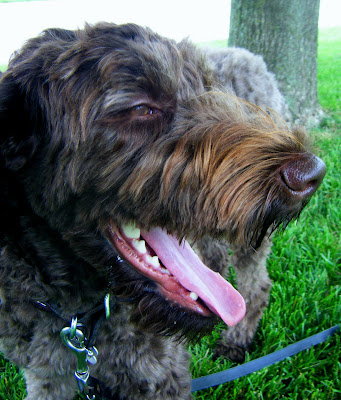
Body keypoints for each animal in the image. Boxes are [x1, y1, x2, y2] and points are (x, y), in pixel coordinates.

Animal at [0, 23, 324, 398]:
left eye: (209, 87)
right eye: (141, 108)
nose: (312, 173)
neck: (78, 311)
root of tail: (253, 58)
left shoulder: (158, 373)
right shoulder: (46, 374)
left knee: (255, 286)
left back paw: (236, 339)